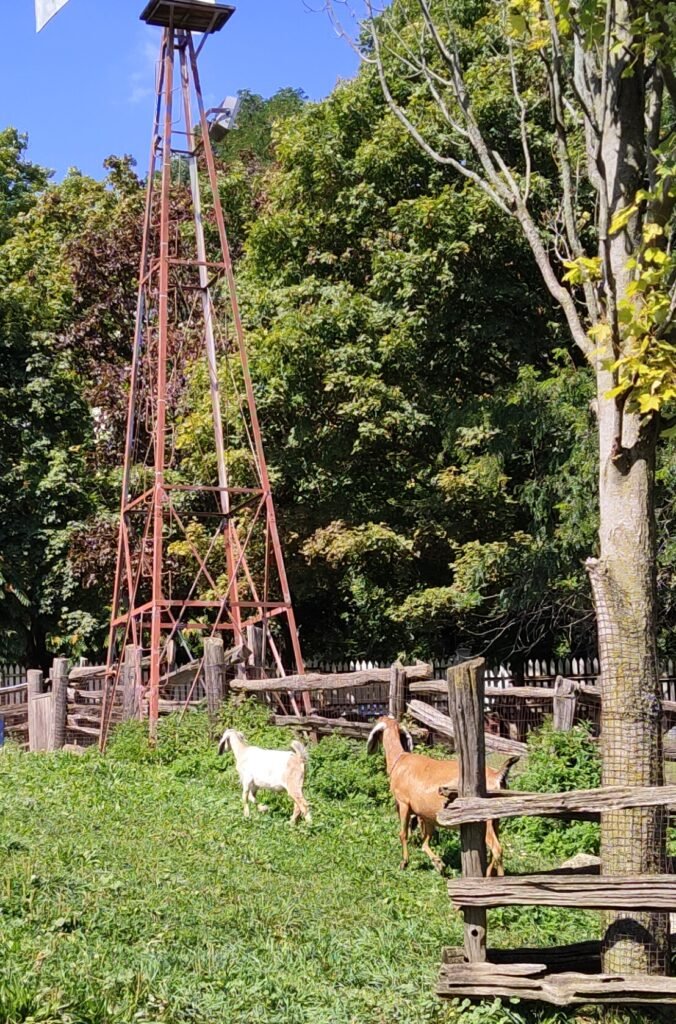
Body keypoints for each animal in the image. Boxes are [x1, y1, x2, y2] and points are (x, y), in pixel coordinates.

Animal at [368, 716, 518, 876]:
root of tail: (497, 776)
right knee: (494, 850)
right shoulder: (426, 815)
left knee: (497, 849)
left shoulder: (403, 803)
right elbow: (425, 840)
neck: (399, 761)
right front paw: (439, 864)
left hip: (485, 819)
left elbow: (403, 834)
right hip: (495, 819)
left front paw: (404, 863)